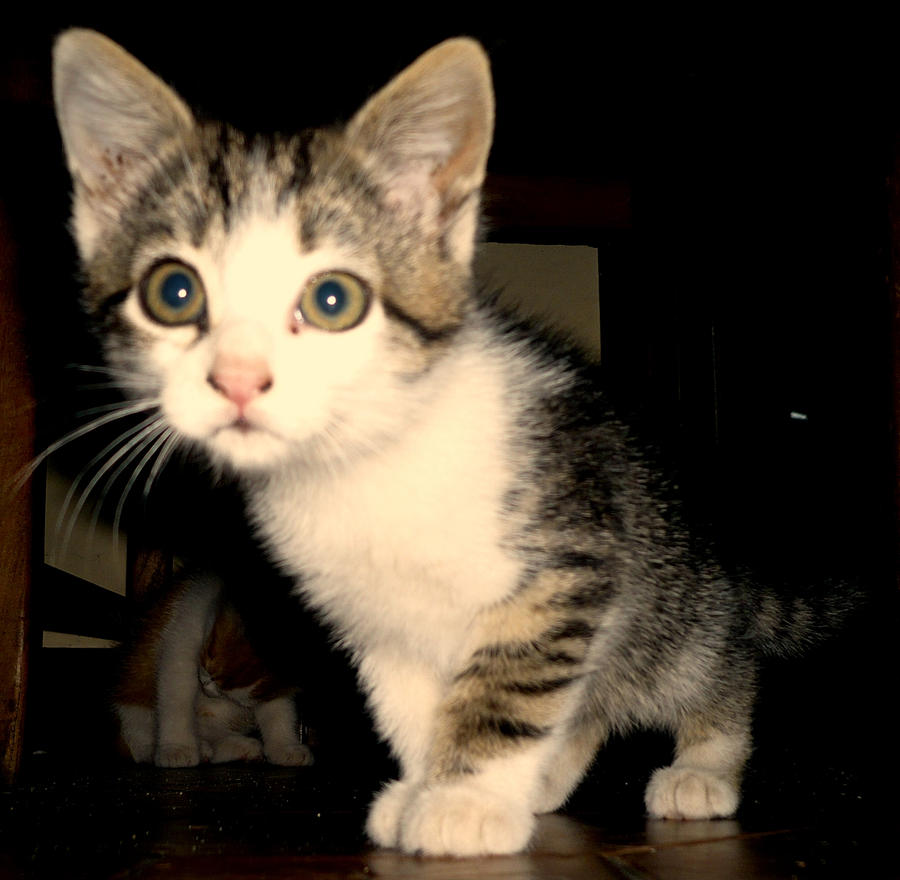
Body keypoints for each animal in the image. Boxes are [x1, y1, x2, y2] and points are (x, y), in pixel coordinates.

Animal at [52, 31, 856, 856]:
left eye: (333, 299)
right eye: (173, 293)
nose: (239, 380)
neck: (370, 462)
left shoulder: (560, 571)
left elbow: (506, 688)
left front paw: (463, 801)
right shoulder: (378, 620)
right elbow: (415, 703)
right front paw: (429, 785)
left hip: (664, 599)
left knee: (711, 668)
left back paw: (702, 767)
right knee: (592, 696)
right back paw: (549, 777)